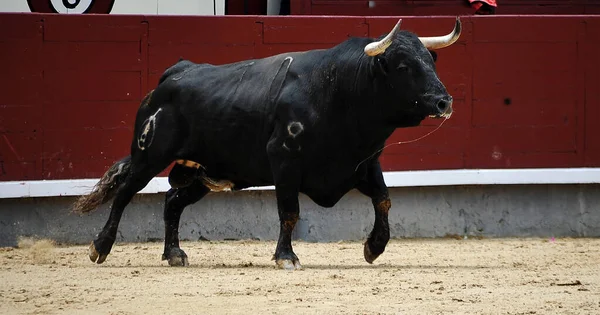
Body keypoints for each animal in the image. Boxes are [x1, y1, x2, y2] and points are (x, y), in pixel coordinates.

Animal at [72, 17, 462, 270]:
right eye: (403, 66)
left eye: (430, 61)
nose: (444, 102)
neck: (340, 89)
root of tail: (174, 73)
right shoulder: (284, 160)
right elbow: (289, 212)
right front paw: (286, 258)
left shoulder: (363, 163)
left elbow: (384, 199)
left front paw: (374, 247)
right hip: (149, 155)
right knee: (124, 194)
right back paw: (99, 247)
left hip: (201, 172)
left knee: (172, 202)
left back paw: (175, 255)